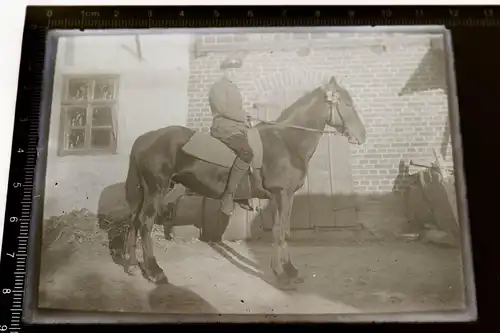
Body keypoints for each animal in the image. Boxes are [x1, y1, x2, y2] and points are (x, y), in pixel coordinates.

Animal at [119, 77, 366, 288]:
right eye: (347, 103)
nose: (362, 136)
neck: (287, 141)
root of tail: (144, 138)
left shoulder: (281, 197)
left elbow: (282, 230)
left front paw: (289, 270)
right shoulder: (283, 194)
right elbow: (280, 231)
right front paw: (282, 273)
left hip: (145, 192)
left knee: (133, 221)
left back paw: (131, 265)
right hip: (156, 190)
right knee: (145, 224)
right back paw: (155, 272)